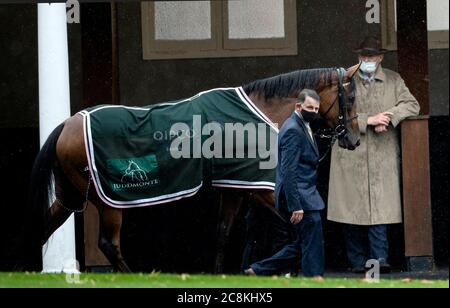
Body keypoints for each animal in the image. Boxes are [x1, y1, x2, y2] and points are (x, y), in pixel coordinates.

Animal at [24, 64, 360, 272]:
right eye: (352, 98)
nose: (354, 139)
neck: (258, 113)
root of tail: (67, 124)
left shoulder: (235, 187)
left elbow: (223, 234)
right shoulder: (260, 190)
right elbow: (294, 228)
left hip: (71, 195)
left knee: (46, 224)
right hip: (109, 200)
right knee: (109, 244)